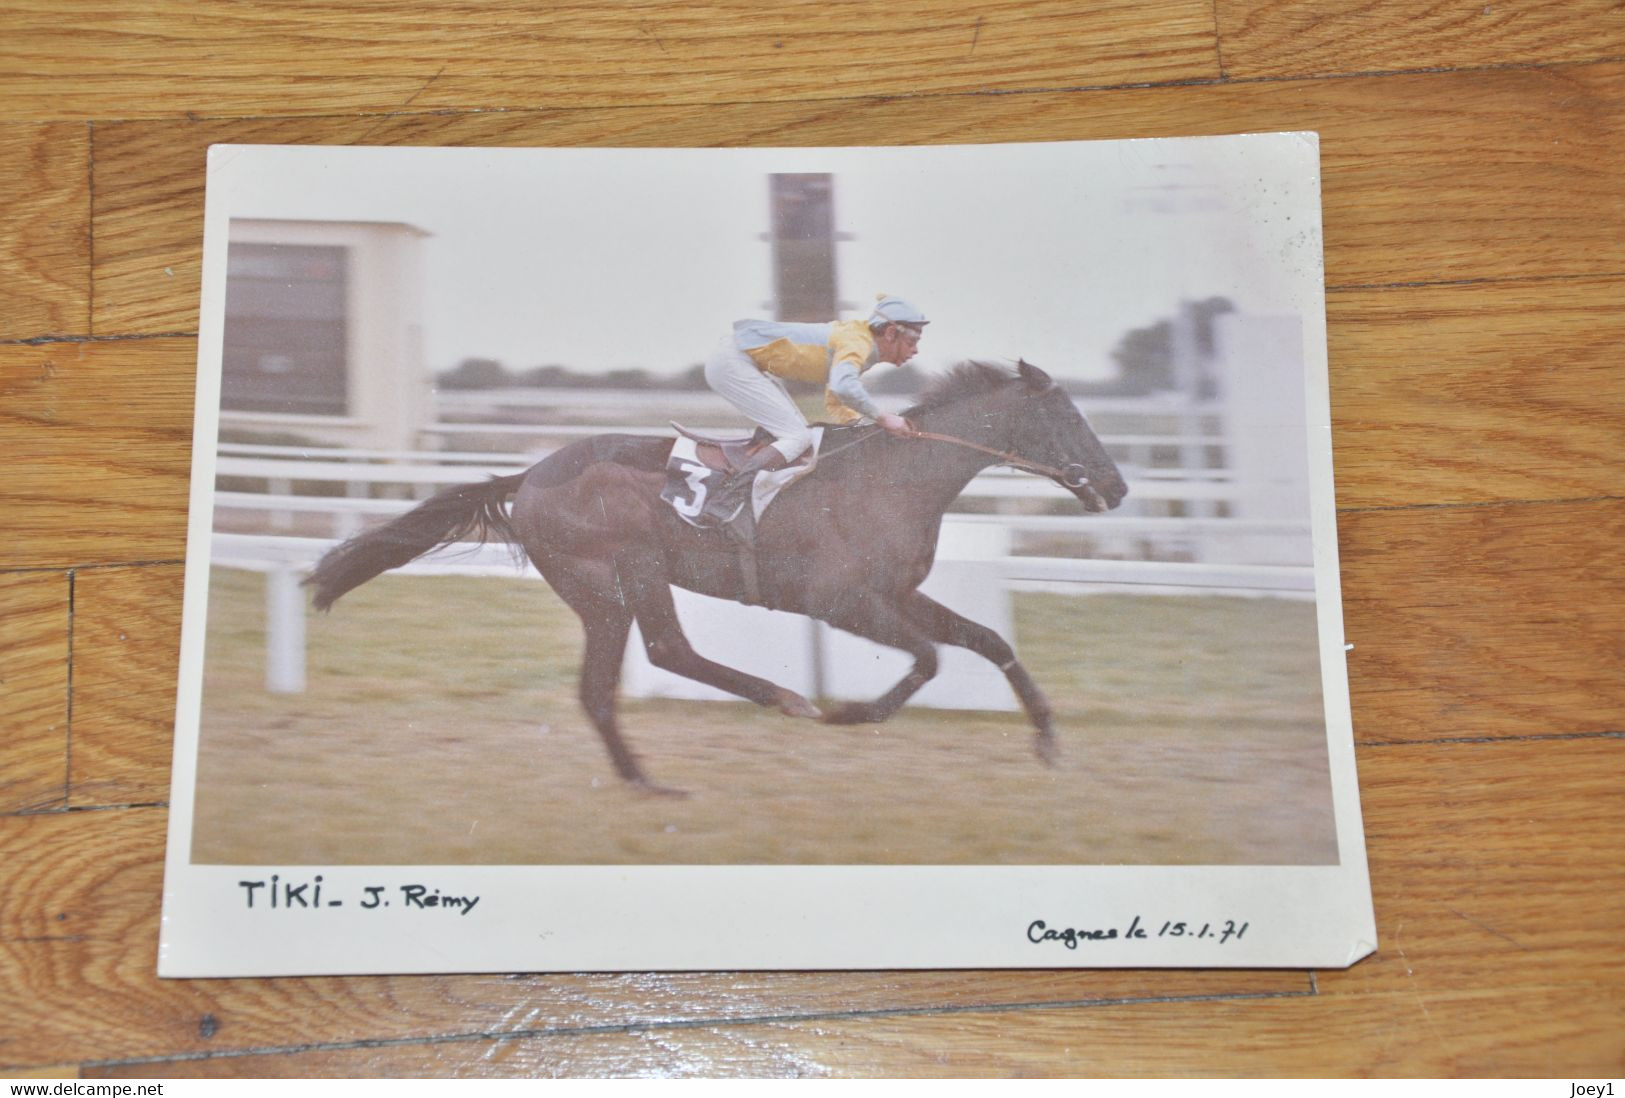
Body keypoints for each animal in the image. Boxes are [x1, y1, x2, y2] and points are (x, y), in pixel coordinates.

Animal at [305, 363, 1124, 792]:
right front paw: (849, 713)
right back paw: (777, 703)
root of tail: (528, 476)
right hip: (621, 573)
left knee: (610, 683)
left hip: (610, 588)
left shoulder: (896, 592)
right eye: (1070, 423)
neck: (893, 478)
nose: (1116, 489)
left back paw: (646, 777)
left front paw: (1047, 740)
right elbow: (928, 658)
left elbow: (988, 641)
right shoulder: (839, 601)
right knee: (661, 654)